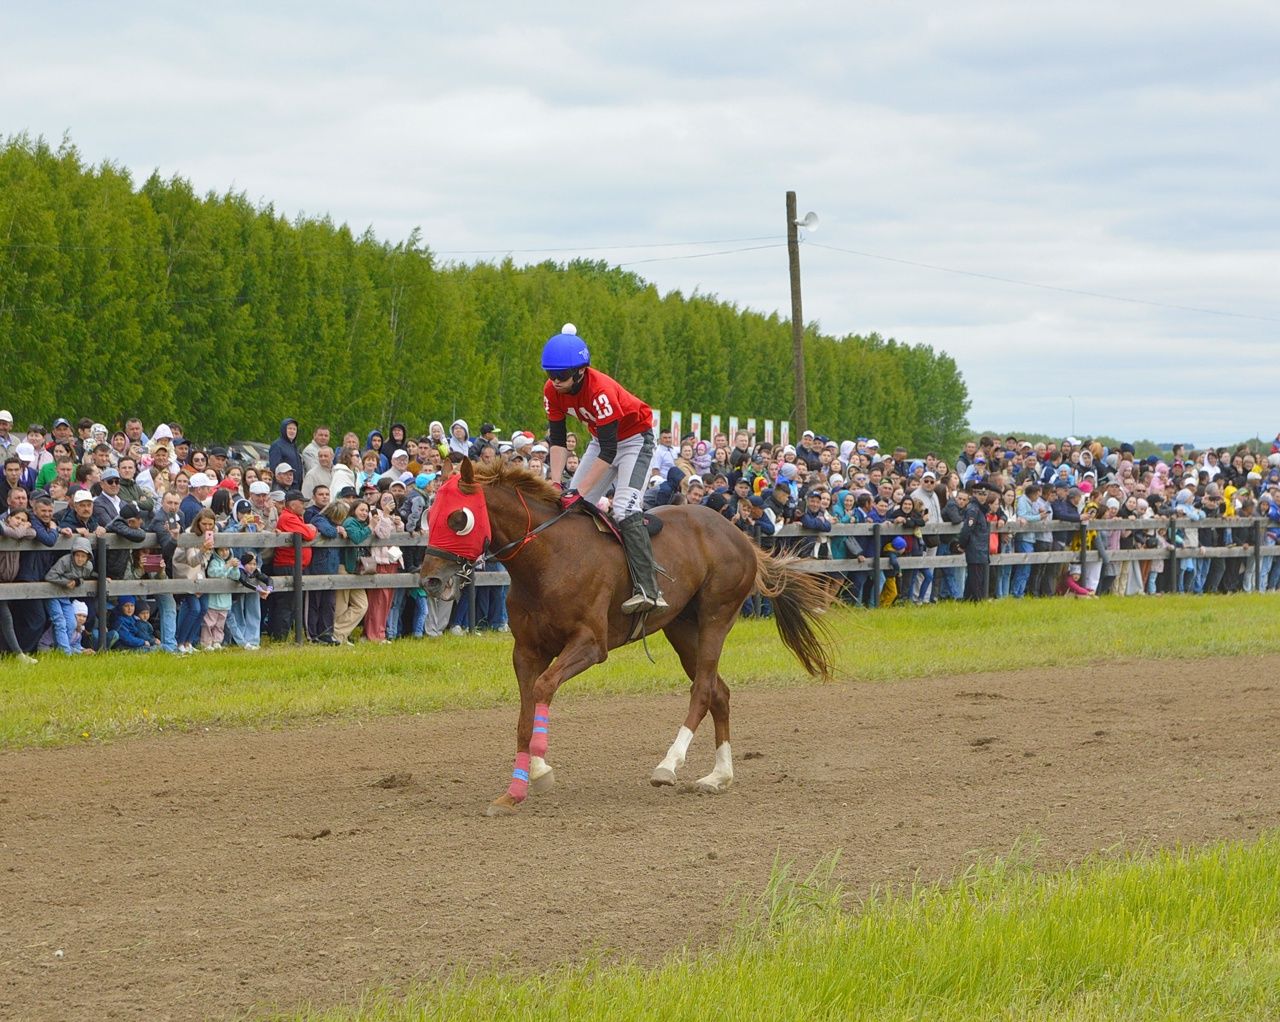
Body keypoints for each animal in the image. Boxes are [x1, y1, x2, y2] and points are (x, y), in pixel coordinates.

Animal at [419, 461, 839, 819]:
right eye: (430, 516)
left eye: (459, 518)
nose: (431, 580)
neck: (548, 559)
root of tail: (739, 535)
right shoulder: (525, 650)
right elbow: (525, 712)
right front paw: (518, 788)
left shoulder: (590, 644)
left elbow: (543, 689)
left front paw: (537, 770)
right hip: (681, 627)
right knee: (719, 691)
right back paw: (718, 776)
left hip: (717, 615)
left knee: (703, 688)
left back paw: (669, 765)